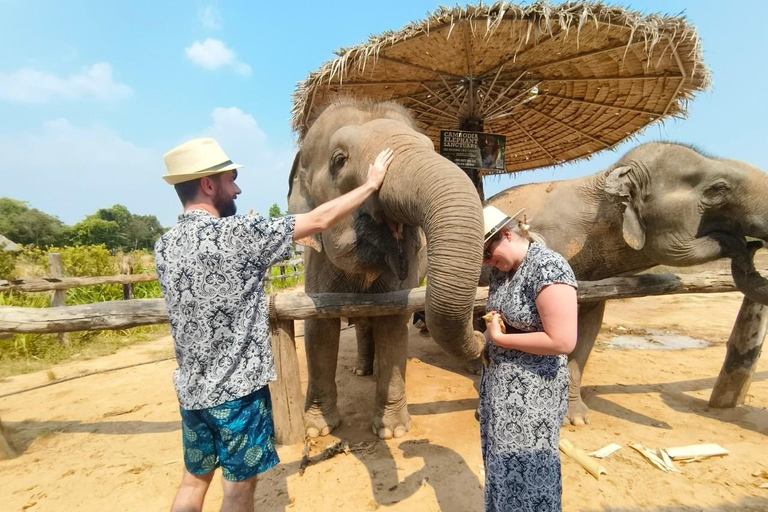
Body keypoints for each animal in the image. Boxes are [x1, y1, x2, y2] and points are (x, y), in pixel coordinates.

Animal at [288, 98, 486, 438]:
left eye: (430, 148)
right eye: (339, 160)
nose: (483, 337)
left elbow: (393, 323)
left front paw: (392, 432)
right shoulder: (314, 262)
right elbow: (318, 330)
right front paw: (317, 430)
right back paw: (362, 370)